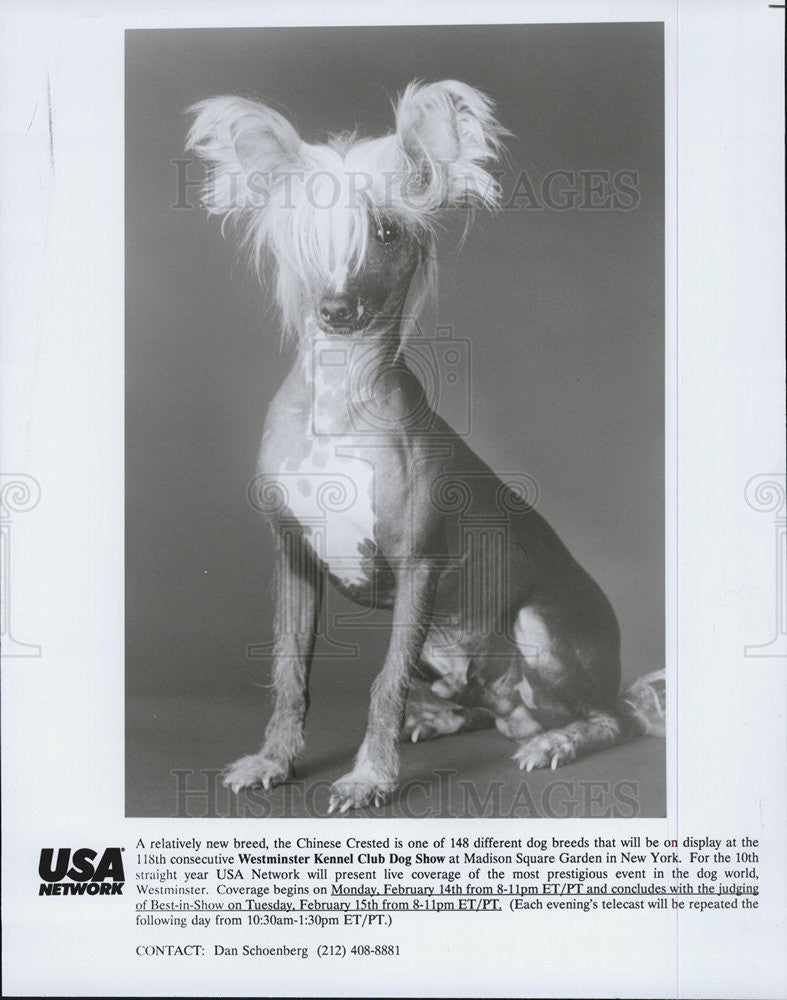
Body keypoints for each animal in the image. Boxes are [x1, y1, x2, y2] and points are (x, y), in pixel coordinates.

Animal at [186, 78, 664, 812]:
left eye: (385, 231)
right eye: (305, 233)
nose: (335, 310)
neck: (339, 404)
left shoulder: (418, 566)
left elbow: (382, 681)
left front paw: (369, 777)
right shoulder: (292, 557)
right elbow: (289, 670)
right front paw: (273, 760)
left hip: (537, 628)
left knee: (612, 717)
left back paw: (557, 741)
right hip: (452, 654)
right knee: (485, 706)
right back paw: (442, 718)